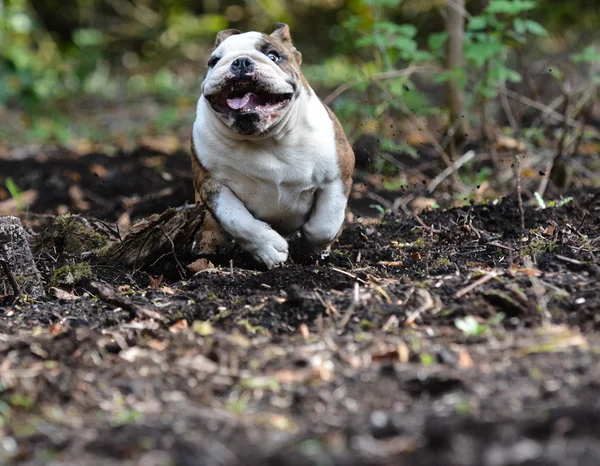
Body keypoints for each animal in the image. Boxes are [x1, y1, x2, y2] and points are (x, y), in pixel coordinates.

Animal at [191, 23, 352, 268]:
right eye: (214, 60)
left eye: (273, 56)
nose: (240, 61)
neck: (266, 138)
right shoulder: (211, 184)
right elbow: (238, 220)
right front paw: (269, 248)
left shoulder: (337, 176)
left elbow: (323, 225)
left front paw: (313, 248)